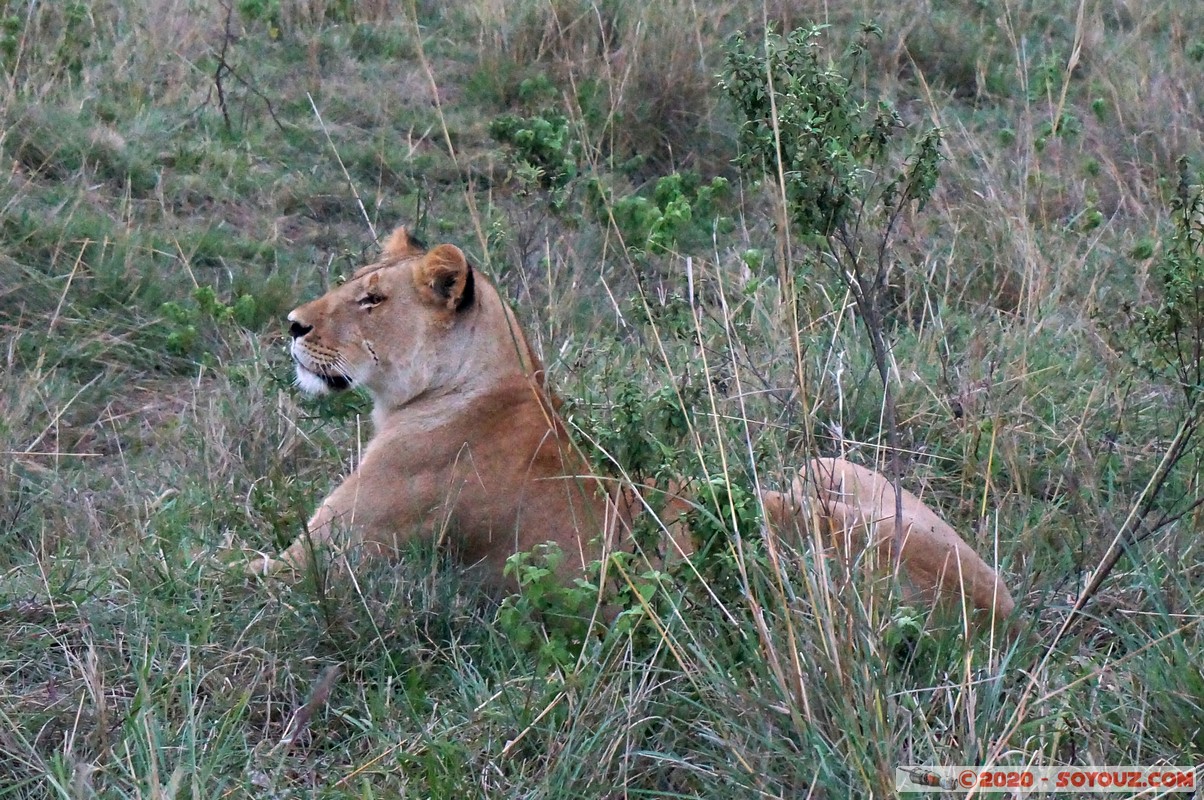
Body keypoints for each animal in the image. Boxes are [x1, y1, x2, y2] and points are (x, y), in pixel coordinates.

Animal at [247, 225, 1014, 628]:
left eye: (372, 299)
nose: (291, 324)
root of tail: (1000, 610)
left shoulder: (319, 564)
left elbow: (224, 573)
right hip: (824, 468)